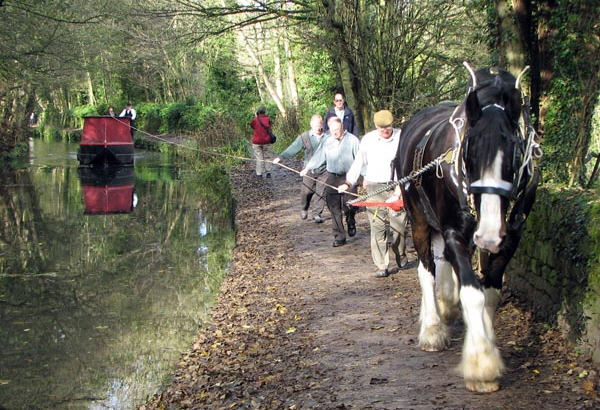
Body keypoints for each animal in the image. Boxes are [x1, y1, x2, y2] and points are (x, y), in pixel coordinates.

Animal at [394, 65, 540, 392]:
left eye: (514, 154)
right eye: (469, 154)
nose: (488, 234)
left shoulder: (511, 237)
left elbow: (491, 294)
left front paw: (488, 342)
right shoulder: (455, 233)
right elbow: (472, 293)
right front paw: (481, 363)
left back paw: (446, 306)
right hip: (419, 219)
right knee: (426, 270)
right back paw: (432, 327)